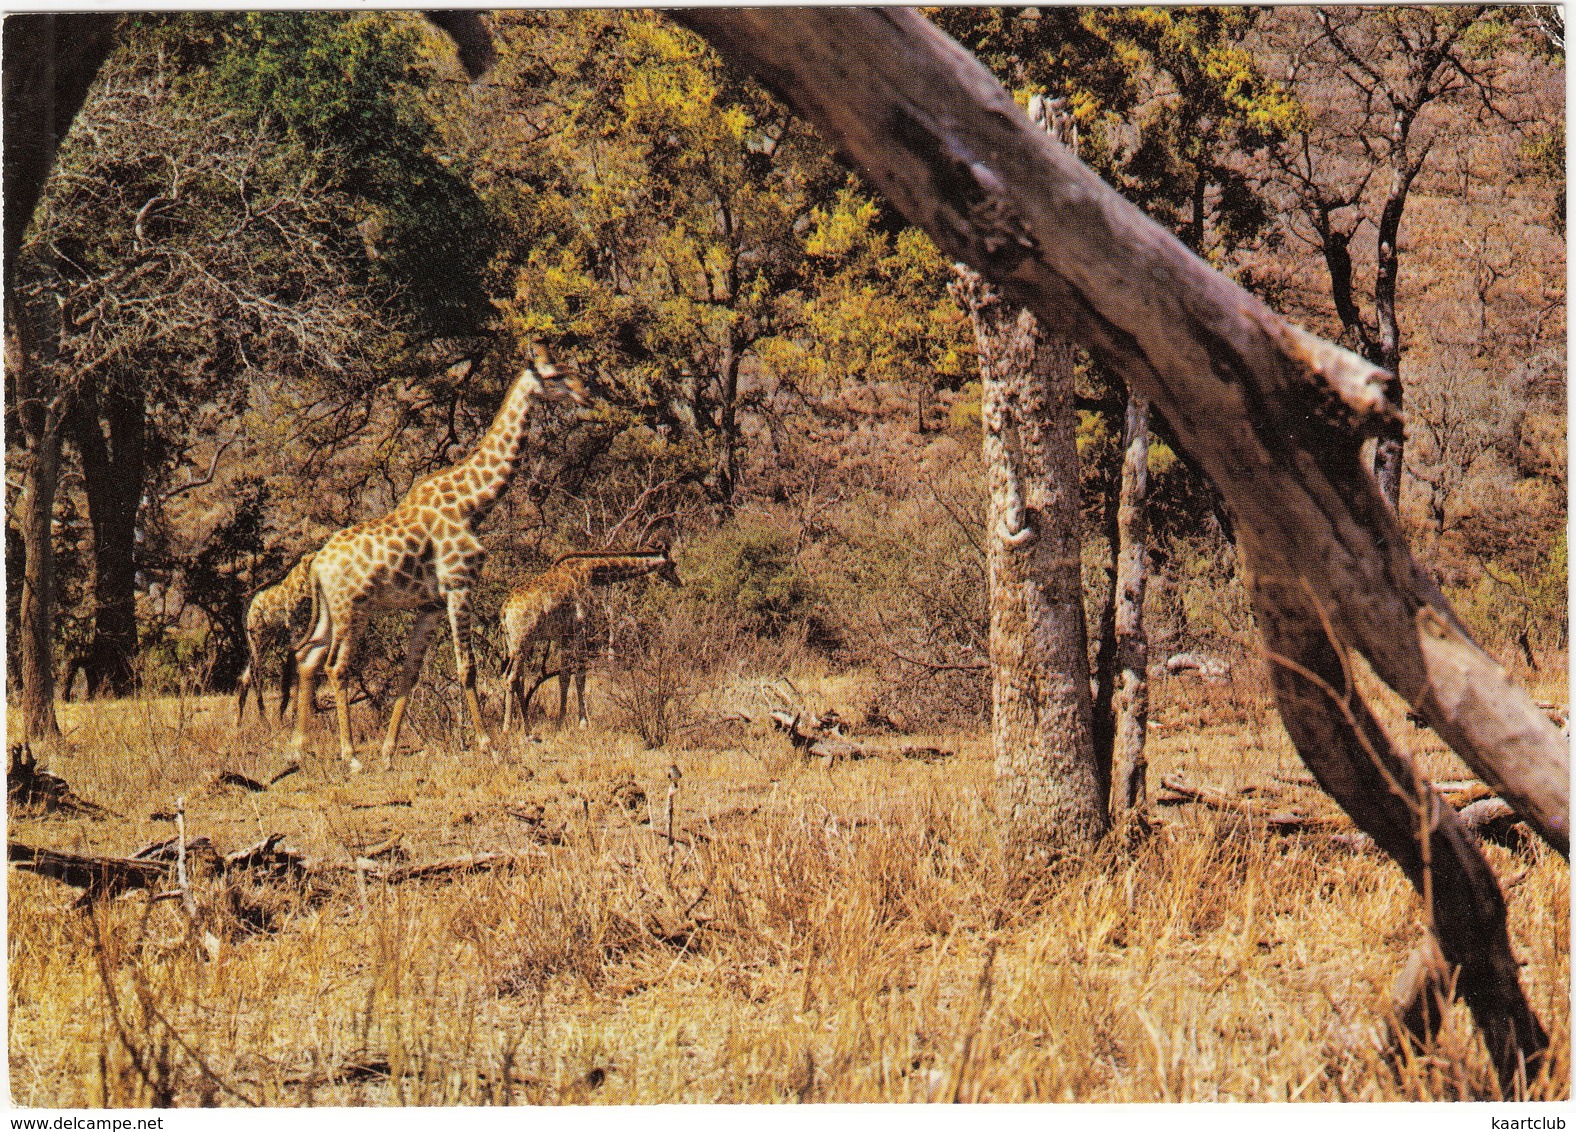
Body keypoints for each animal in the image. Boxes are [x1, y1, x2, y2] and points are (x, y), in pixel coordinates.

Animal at [233, 554, 316, 728]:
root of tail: (246, 607)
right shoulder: (296, 630)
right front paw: (292, 718)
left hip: (265, 638)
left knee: (246, 675)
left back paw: (238, 722)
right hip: (258, 636)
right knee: (255, 672)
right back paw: (265, 722)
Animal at [289, 345, 586, 772]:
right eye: (555, 374)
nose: (585, 393)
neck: (472, 504)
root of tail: (317, 564)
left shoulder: (429, 605)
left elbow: (410, 673)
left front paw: (388, 752)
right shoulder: (460, 587)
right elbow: (468, 668)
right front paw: (488, 746)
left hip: (330, 610)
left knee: (306, 657)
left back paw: (297, 749)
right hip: (352, 609)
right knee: (335, 666)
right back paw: (350, 756)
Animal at [501, 548, 680, 734]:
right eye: (673, 564)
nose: (679, 581)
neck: (592, 570)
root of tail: (504, 610)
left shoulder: (566, 633)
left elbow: (564, 677)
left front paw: (560, 723)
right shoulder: (581, 626)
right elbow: (580, 675)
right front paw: (583, 723)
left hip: (515, 645)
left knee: (516, 678)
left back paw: (527, 727)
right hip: (522, 643)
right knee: (511, 678)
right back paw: (507, 728)